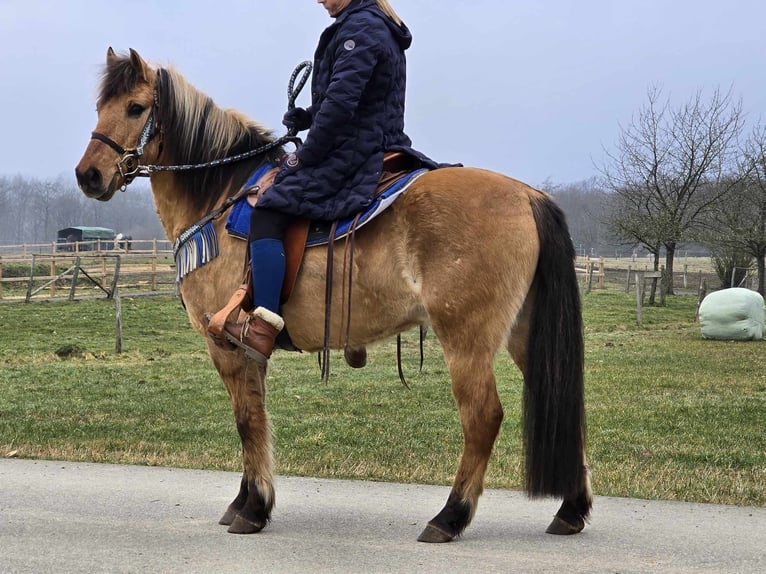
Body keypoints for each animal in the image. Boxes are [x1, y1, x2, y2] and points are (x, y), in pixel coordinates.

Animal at [75, 48, 592, 544]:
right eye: (100, 106)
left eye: (135, 107)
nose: (88, 175)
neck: (219, 201)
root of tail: (528, 196)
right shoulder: (249, 350)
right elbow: (256, 416)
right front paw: (245, 501)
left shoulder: (225, 344)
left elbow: (246, 420)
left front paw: (254, 509)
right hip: (523, 333)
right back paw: (571, 510)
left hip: (466, 338)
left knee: (482, 418)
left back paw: (450, 517)